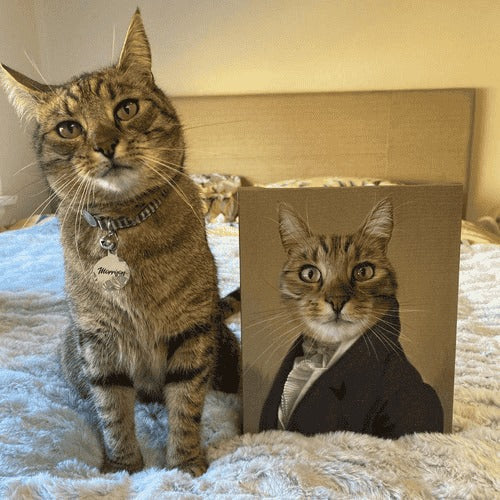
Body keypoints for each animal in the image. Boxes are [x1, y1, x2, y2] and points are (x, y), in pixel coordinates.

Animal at [0, 9, 240, 474]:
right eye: (68, 128)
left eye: (126, 108)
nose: (105, 144)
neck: (123, 224)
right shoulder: (98, 340)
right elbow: (112, 408)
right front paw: (125, 464)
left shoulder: (191, 331)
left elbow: (186, 403)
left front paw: (184, 462)